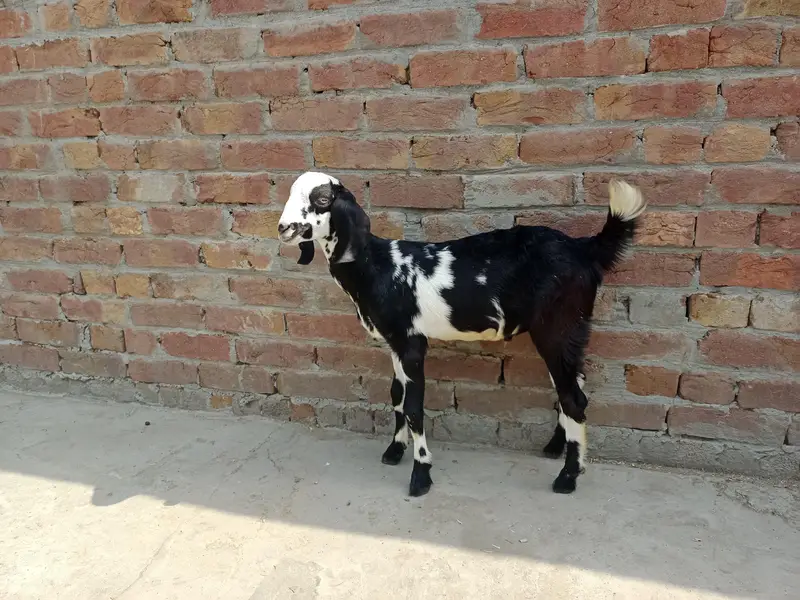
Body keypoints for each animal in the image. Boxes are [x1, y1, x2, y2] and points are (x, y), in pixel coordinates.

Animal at [277, 171, 646, 497]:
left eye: (321, 199)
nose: (283, 228)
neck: (378, 266)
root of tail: (585, 249)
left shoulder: (412, 343)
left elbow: (413, 408)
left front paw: (421, 476)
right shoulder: (395, 342)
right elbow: (396, 396)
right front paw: (394, 451)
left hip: (558, 326)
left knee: (574, 398)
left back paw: (568, 477)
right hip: (570, 330)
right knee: (572, 385)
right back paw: (557, 448)